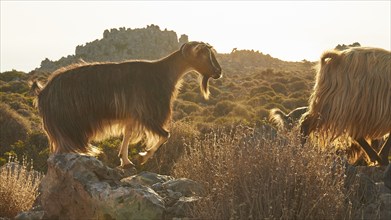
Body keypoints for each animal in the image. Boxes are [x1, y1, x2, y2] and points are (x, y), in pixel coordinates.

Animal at [33, 40, 224, 167]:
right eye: (204, 55)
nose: (218, 72)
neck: (163, 73)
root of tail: (43, 92)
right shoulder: (147, 113)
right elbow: (165, 135)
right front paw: (142, 157)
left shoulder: (132, 115)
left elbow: (127, 134)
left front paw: (125, 160)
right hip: (67, 125)